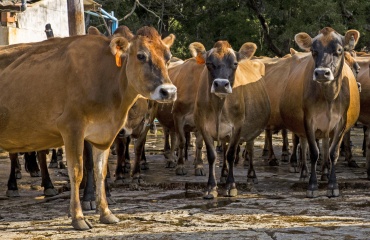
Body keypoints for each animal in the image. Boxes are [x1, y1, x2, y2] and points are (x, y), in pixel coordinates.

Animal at [0, 26, 178, 231]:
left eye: (168, 56)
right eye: (141, 55)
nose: (169, 91)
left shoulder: (104, 134)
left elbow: (101, 172)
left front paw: (106, 213)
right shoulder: (72, 128)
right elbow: (77, 172)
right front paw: (78, 217)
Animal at [192, 40, 270, 199]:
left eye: (234, 63)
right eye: (209, 63)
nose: (221, 84)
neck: (219, 107)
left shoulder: (238, 126)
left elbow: (231, 154)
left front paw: (231, 186)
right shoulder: (204, 127)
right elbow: (212, 156)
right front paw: (211, 187)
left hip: (251, 130)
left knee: (250, 148)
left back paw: (251, 175)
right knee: (224, 146)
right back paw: (223, 174)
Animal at [278, 27, 360, 198]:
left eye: (339, 50)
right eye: (313, 51)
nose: (322, 73)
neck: (329, 97)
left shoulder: (341, 122)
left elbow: (333, 153)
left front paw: (333, 185)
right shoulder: (308, 120)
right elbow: (314, 152)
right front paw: (312, 185)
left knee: (325, 146)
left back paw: (325, 173)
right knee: (302, 144)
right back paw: (303, 172)